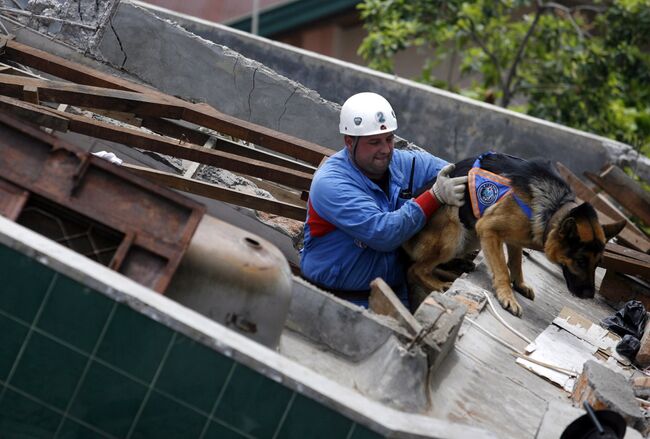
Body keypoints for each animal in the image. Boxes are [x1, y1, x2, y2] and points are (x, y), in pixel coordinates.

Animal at [402, 154, 624, 316]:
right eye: (580, 261)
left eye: (598, 263)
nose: (589, 295)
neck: (554, 209)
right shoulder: (488, 229)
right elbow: (502, 268)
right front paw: (507, 296)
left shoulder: (515, 238)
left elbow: (516, 263)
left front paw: (519, 284)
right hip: (454, 232)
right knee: (414, 269)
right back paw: (440, 285)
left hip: (472, 237)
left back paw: (459, 265)